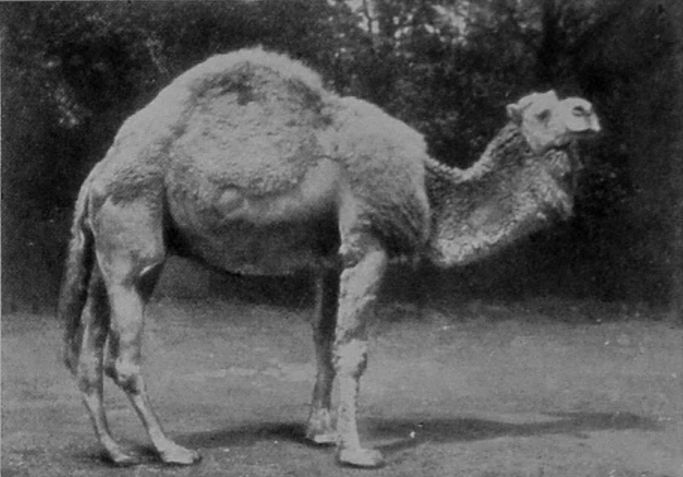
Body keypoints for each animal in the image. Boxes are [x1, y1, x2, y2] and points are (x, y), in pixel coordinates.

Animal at [58, 47, 600, 468]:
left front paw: (321, 432)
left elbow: (322, 340)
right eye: (541, 112)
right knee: (123, 357)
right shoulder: (369, 241)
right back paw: (171, 450)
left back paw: (117, 452)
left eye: (566, 104)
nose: (587, 110)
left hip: (111, 253)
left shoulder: (329, 258)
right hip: (135, 233)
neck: (431, 191)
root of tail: (96, 175)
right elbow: (353, 350)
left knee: (88, 352)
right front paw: (356, 450)